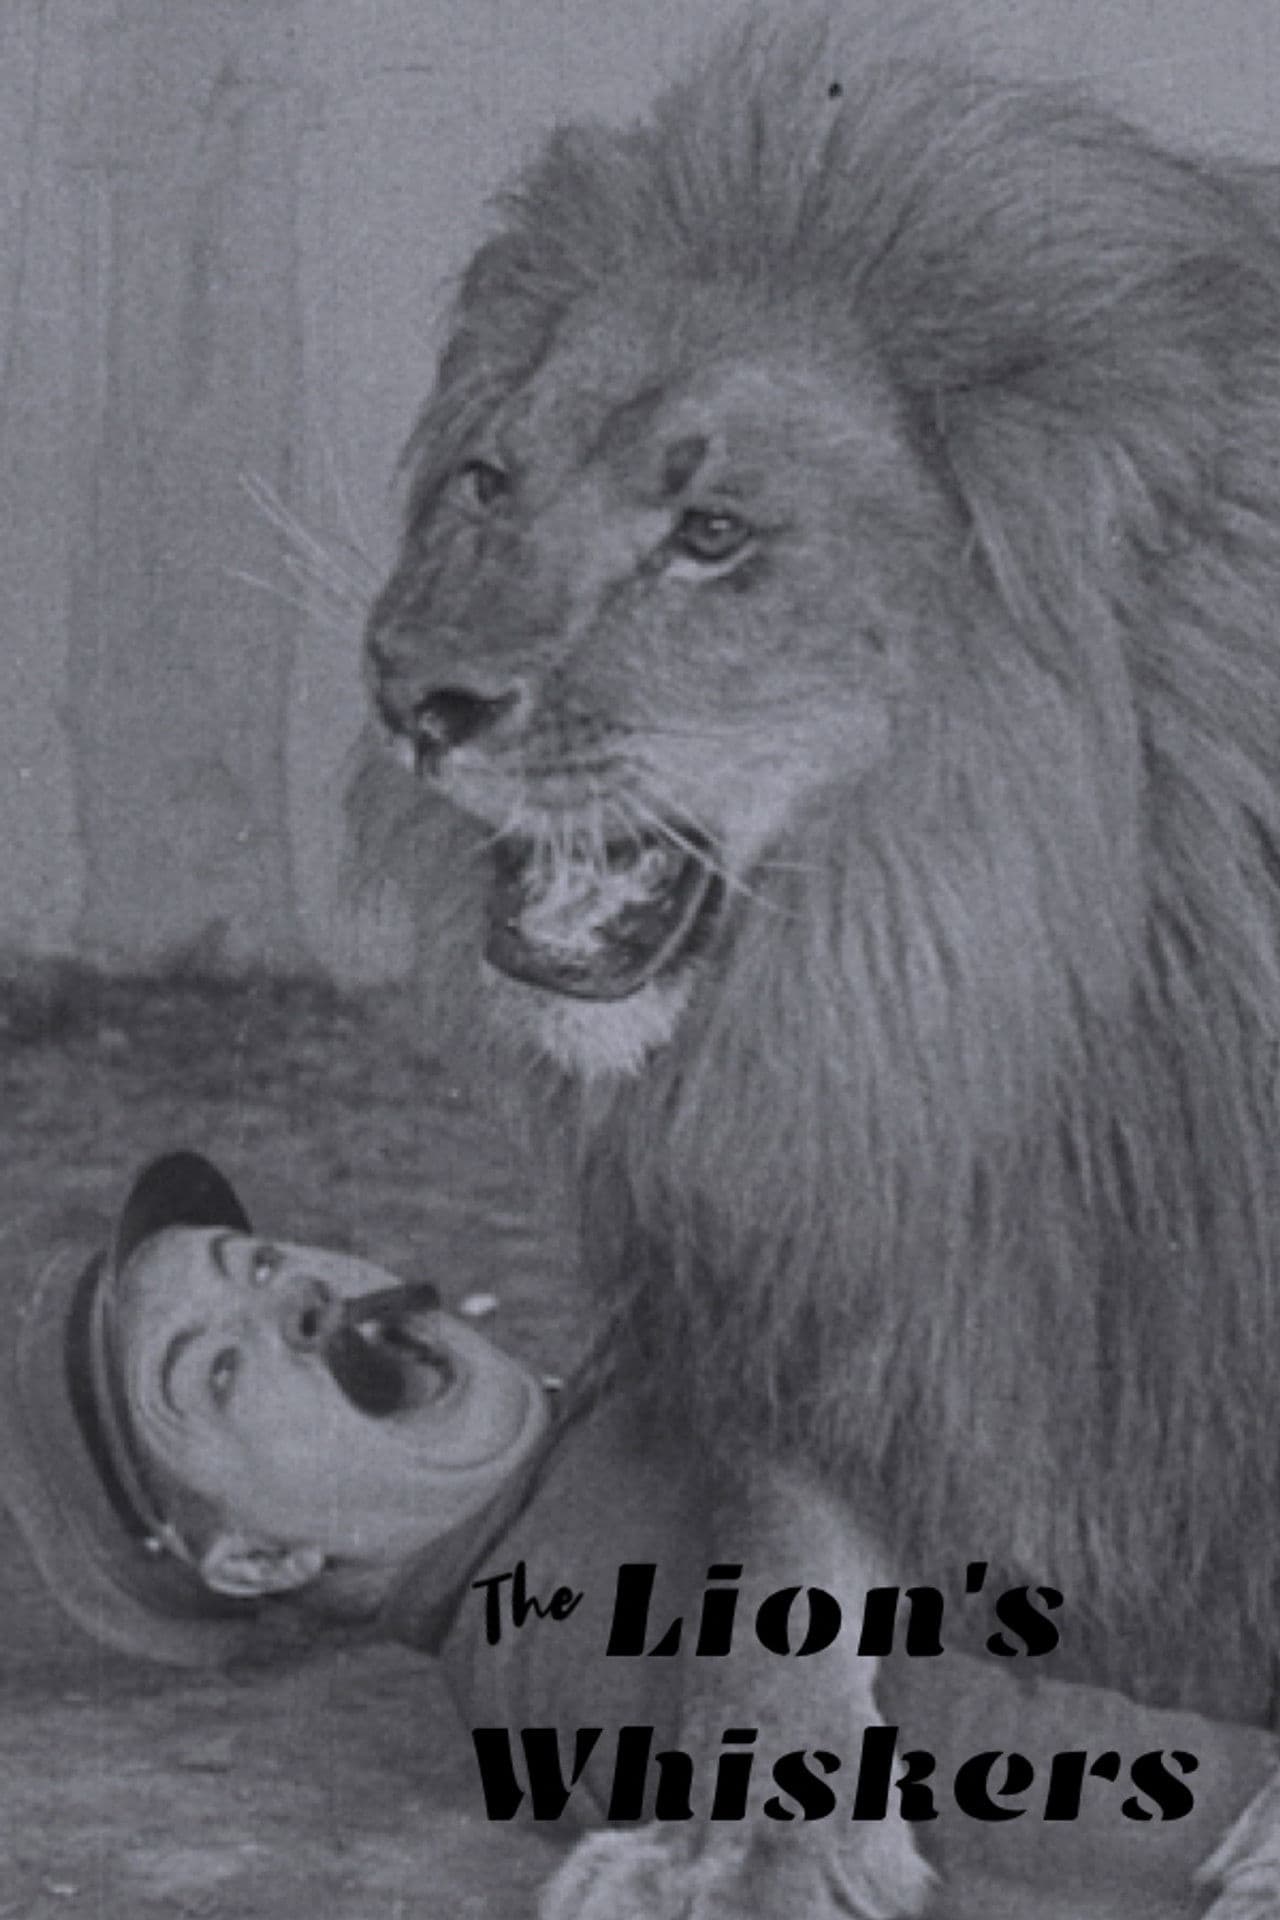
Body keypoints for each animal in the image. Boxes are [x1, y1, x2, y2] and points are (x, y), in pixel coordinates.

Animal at [351, 16, 1280, 1916]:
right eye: (489, 482)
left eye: (711, 537)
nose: (411, 695)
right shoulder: (801, 1210)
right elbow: (779, 1530)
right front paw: (749, 1836)